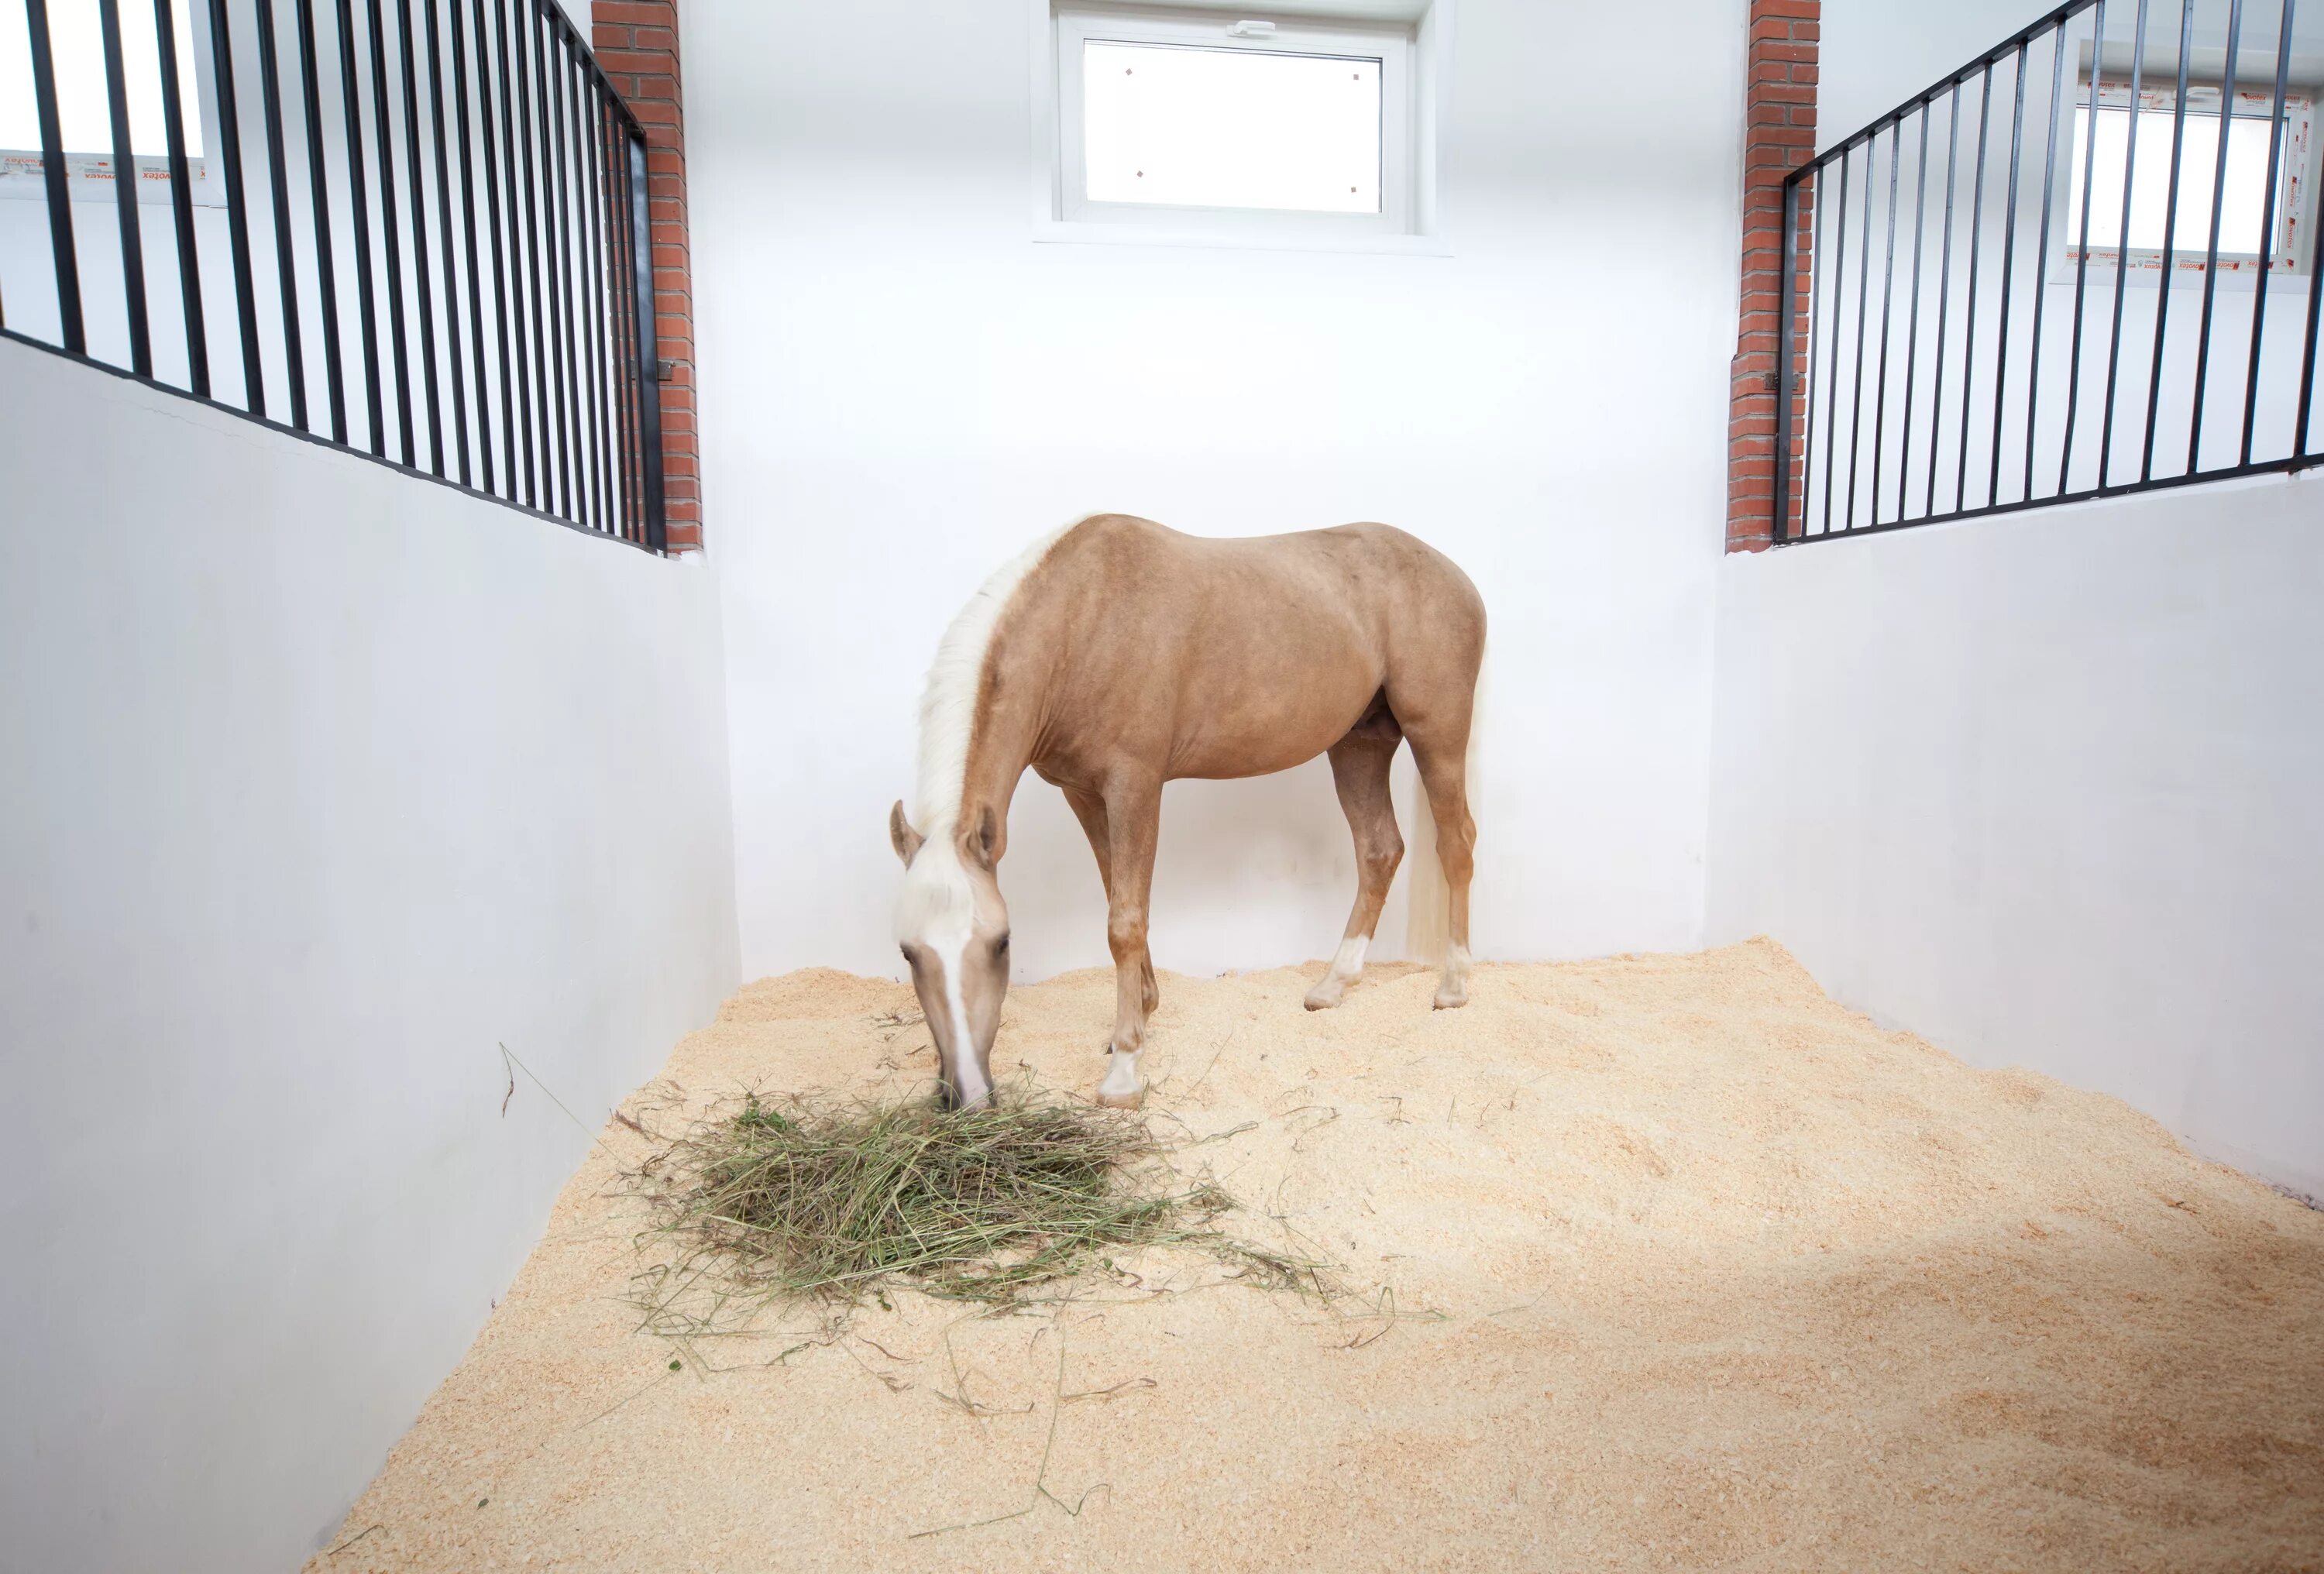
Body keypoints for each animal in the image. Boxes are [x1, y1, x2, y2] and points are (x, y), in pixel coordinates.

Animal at [888, 511, 1487, 1106]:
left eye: (1001, 943)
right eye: (908, 953)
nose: (967, 1095)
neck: (1081, 621)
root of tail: (1456, 576)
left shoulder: (1135, 787)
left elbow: (1125, 921)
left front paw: (1125, 1069)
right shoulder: (1083, 794)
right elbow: (1116, 894)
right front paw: (1139, 1016)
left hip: (1436, 733)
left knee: (1456, 844)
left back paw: (1454, 985)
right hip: (1359, 744)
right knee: (1379, 850)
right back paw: (1333, 985)